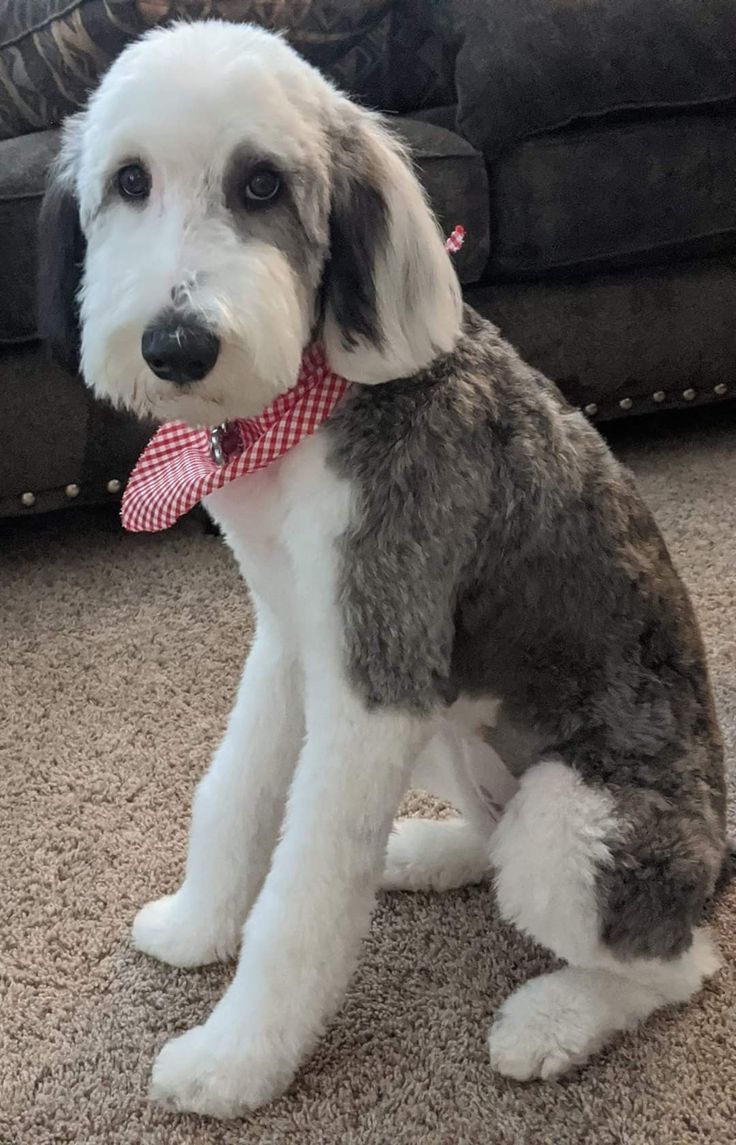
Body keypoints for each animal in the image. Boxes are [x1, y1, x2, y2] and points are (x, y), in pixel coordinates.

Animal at [37, 22, 727, 1122]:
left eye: (263, 184)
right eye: (129, 180)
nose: (178, 344)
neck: (310, 405)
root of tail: (719, 855)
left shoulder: (377, 675)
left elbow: (306, 889)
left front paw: (233, 1060)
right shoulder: (293, 633)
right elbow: (232, 791)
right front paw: (196, 924)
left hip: (577, 817)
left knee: (677, 960)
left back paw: (549, 1020)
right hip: (455, 721)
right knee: (491, 839)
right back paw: (427, 850)